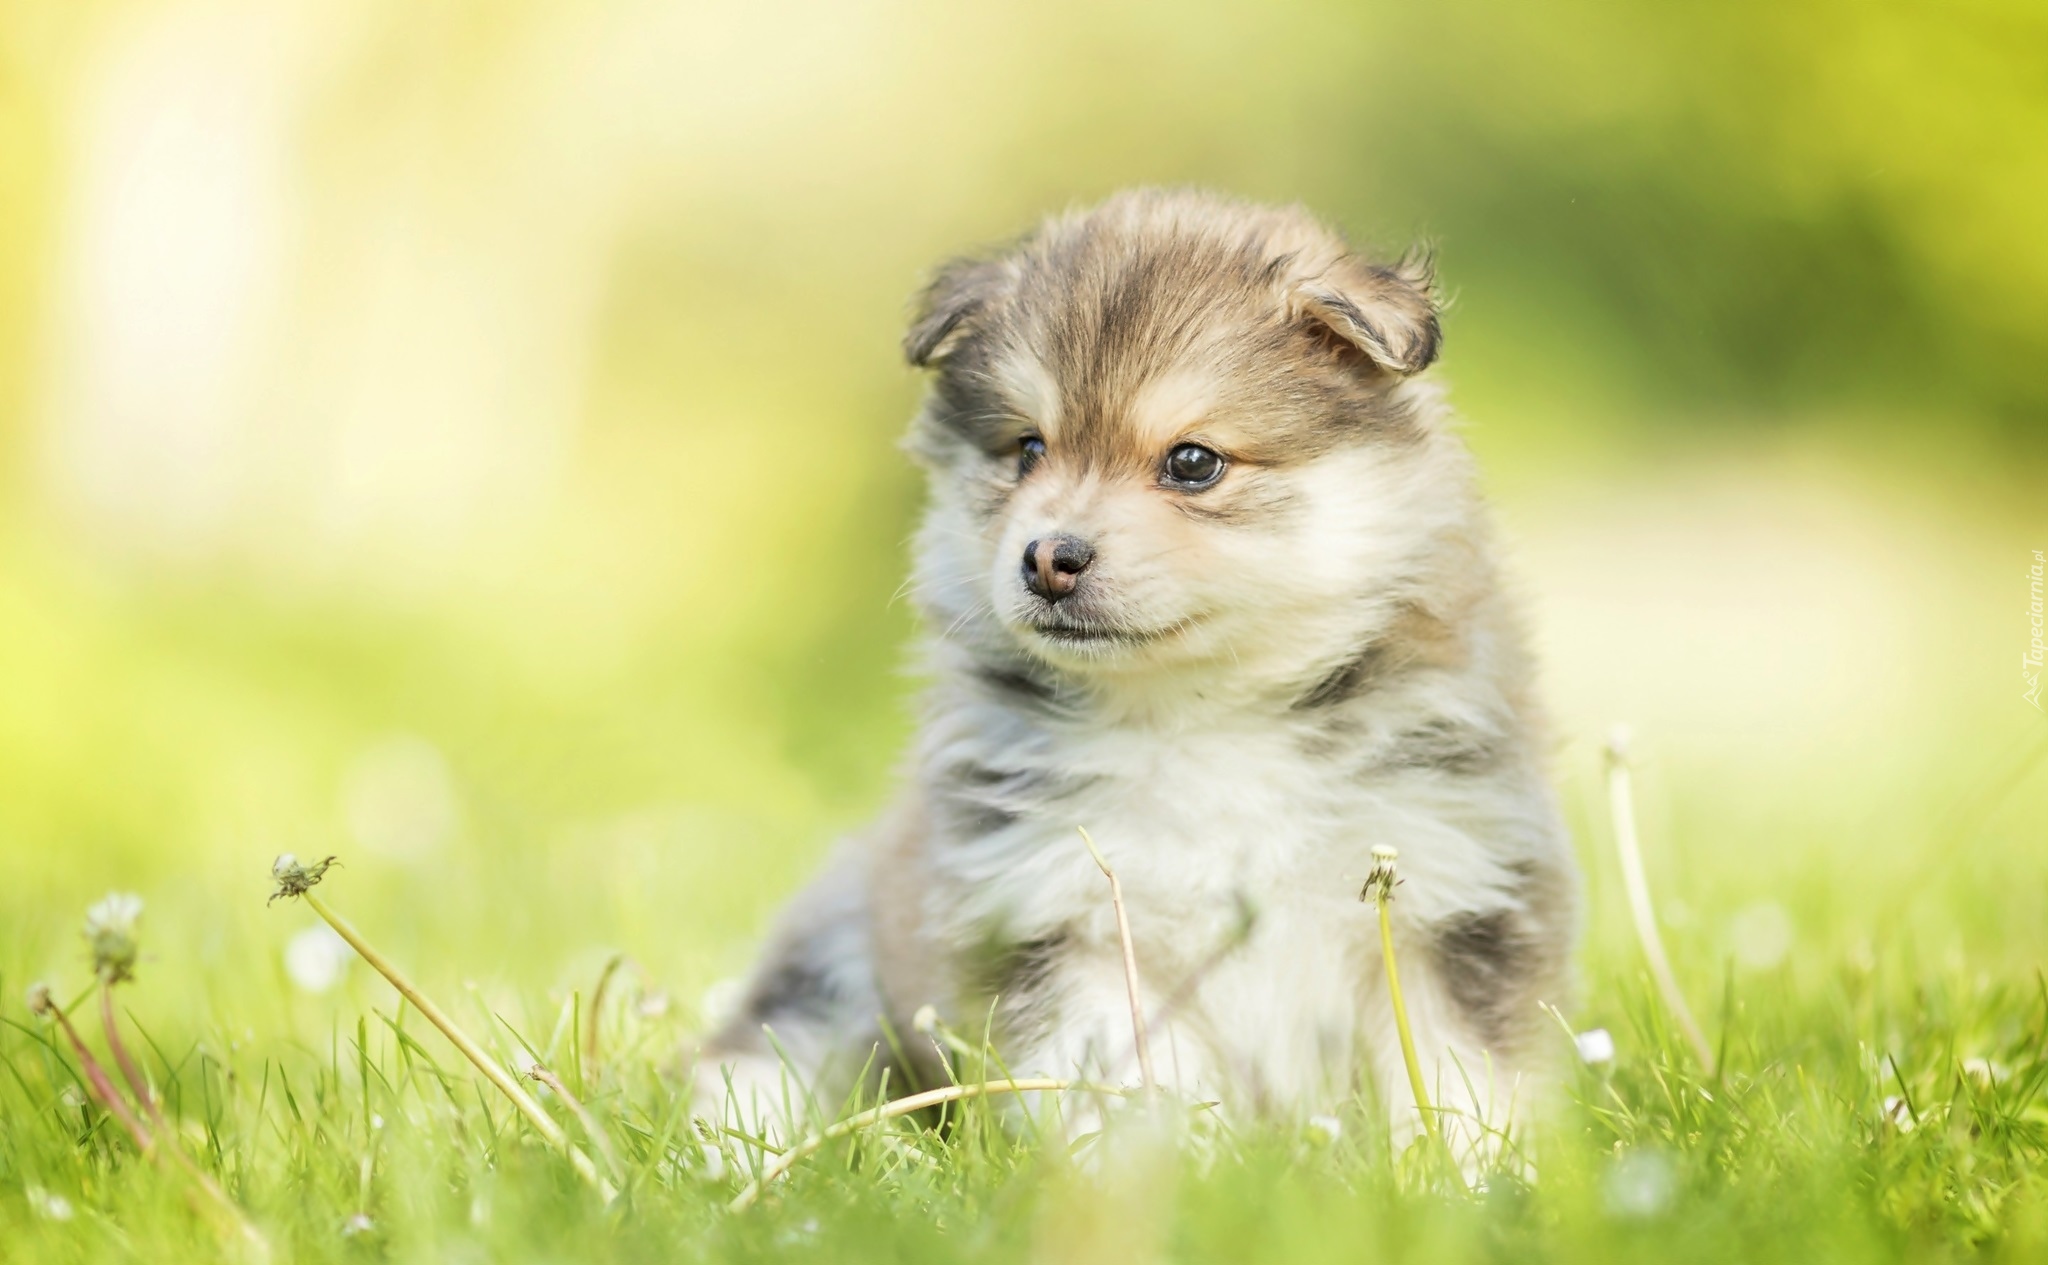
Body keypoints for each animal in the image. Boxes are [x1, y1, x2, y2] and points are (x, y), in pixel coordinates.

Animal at [696, 189, 1572, 1154]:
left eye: (1193, 461)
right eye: (1028, 450)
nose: (1048, 558)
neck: (1201, 715)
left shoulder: (1454, 890)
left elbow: (1463, 1080)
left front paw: (1478, 1175)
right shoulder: (1058, 916)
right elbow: (1120, 1089)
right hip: (843, 947)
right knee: (770, 1044)